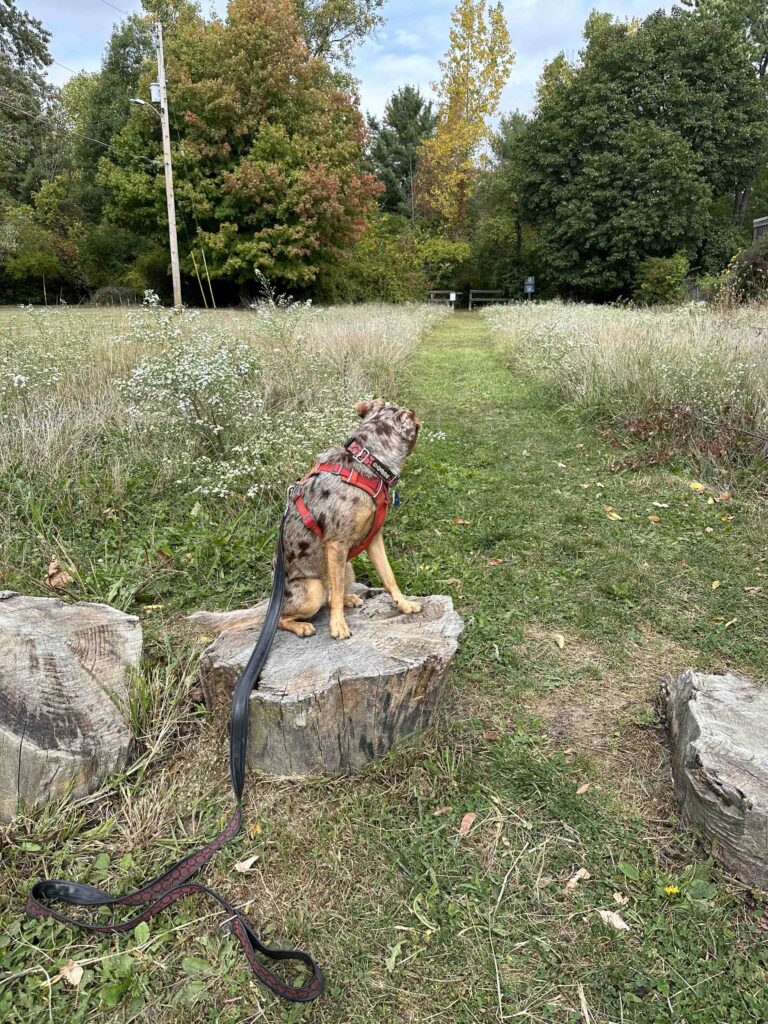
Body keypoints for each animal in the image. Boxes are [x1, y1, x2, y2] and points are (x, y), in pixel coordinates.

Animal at [276, 399, 421, 638]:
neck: (368, 464)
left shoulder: (374, 539)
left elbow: (389, 577)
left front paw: (404, 604)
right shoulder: (336, 544)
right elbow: (335, 597)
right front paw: (338, 625)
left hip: (348, 569)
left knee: (332, 595)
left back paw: (349, 598)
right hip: (314, 589)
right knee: (286, 616)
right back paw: (302, 626)